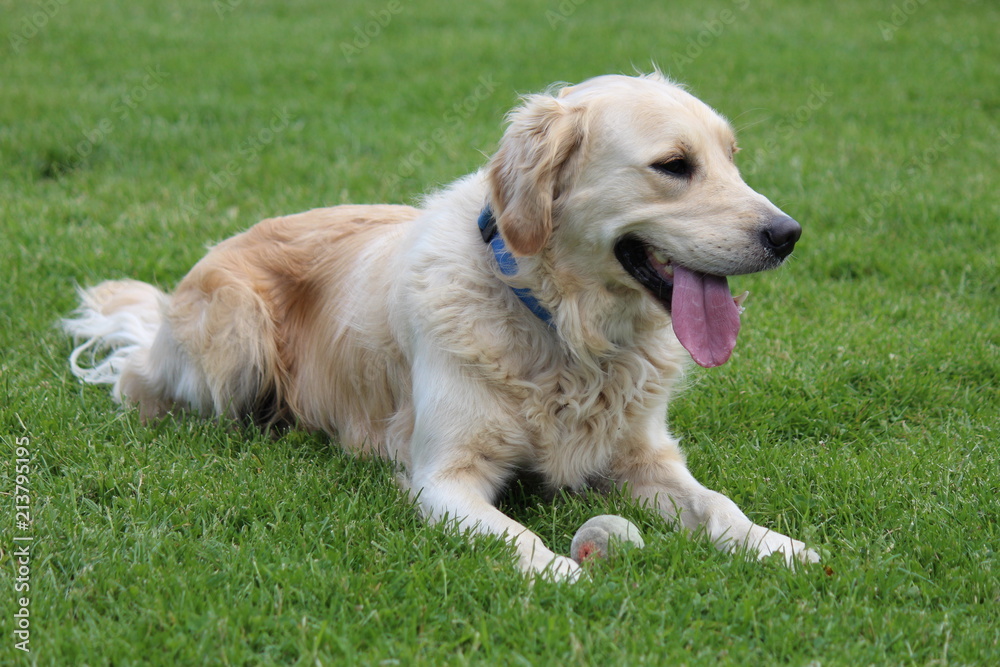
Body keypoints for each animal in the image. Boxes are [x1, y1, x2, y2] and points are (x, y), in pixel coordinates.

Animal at [68, 73, 820, 580]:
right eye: (673, 166)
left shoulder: (647, 457)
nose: (788, 235)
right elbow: (516, 534)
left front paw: (779, 545)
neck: (561, 325)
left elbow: (719, 504)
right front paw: (564, 572)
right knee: (138, 382)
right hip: (235, 338)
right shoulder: (445, 476)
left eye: (732, 159)